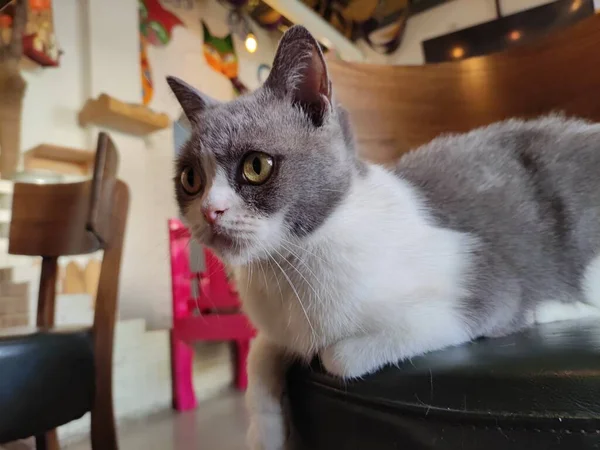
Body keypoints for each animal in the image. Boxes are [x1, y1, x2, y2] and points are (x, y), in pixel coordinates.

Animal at [166, 23, 600, 450]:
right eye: (190, 179)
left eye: (256, 166)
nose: (210, 210)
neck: (290, 266)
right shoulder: (278, 329)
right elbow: (259, 355)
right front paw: (266, 434)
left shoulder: (486, 283)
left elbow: (337, 357)